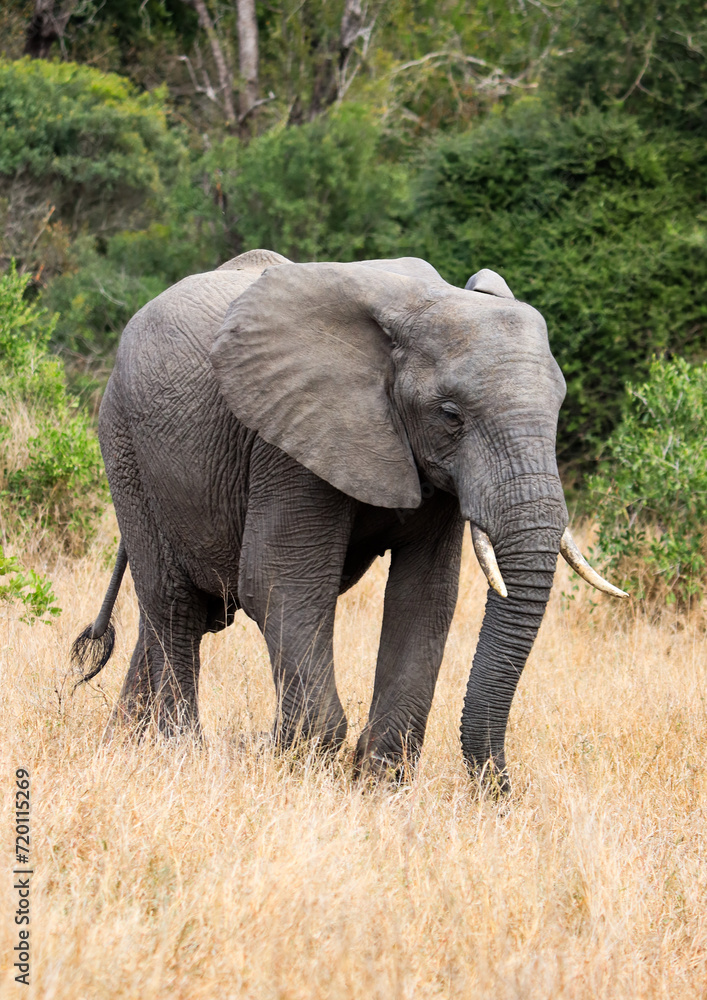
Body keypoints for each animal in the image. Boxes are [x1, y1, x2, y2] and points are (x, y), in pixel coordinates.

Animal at [72, 246, 624, 784]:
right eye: (451, 415)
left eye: (558, 408)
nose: (501, 788)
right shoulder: (291, 434)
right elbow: (278, 581)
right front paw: (297, 765)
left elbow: (425, 595)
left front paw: (380, 781)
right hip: (125, 446)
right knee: (174, 603)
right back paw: (179, 753)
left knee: (181, 612)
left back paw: (124, 742)